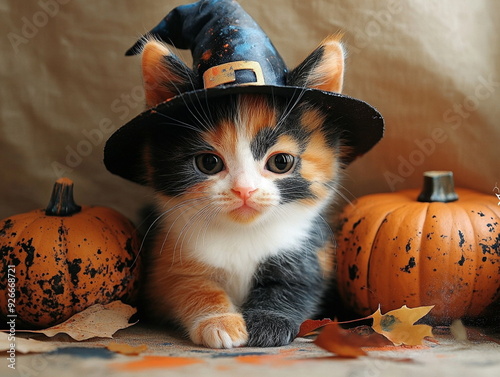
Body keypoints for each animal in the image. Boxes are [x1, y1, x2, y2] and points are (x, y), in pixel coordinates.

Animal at [139, 37, 346, 346]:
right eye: (209, 162)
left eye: (281, 162)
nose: (244, 190)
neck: (241, 233)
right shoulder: (167, 258)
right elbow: (190, 286)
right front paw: (219, 322)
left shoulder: (311, 254)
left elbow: (292, 287)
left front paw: (269, 322)